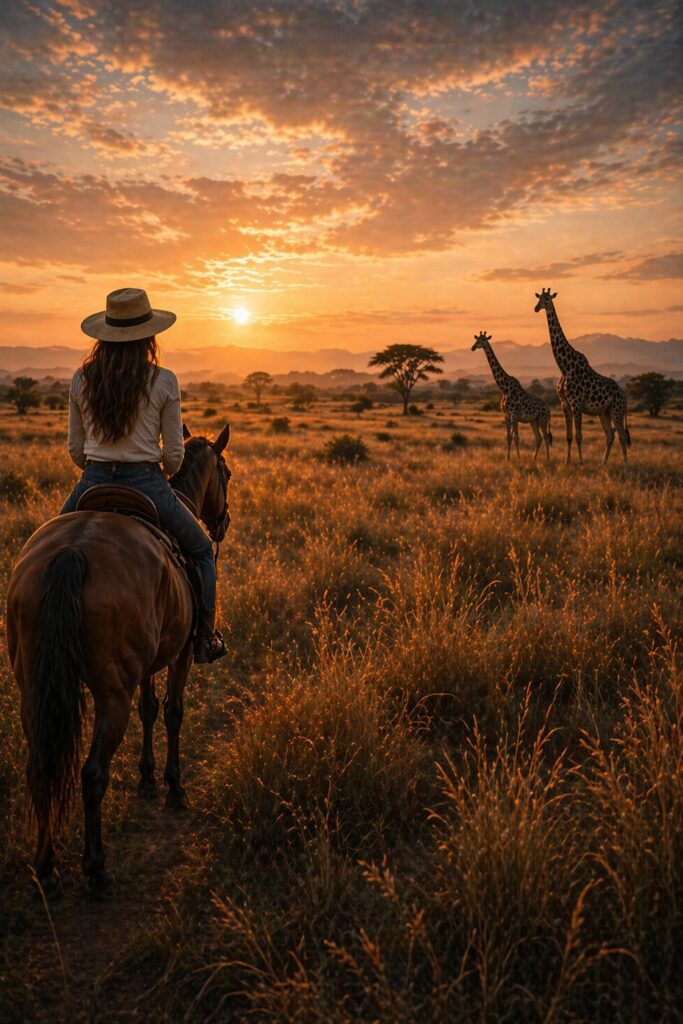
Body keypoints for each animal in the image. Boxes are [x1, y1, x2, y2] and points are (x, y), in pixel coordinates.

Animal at [471, 331, 552, 461]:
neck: (505, 389)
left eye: (483, 340)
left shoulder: (515, 415)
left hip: (542, 419)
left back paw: (548, 460)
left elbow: (516, 438)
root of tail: (549, 409)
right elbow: (508, 438)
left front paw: (518, 459)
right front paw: (508, 459)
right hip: (533, 421)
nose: (473, 347)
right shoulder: (507, 416)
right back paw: (534, 459)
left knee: (546, 437)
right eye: (476, 339)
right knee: (539, 438)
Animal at [534, 289, 631, 464]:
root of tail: (624, 396)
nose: (536, 308)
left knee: (622, 435)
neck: (565, 367)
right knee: (610, 436)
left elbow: (579, 436)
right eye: (539, 299)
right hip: (604, 412)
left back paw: (626, 465)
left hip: (617, 410)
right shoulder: (565, 405)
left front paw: (580, 462)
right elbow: (569, 436)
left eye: (547, 299)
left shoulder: (576, 404)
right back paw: (603, 464)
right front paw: (567, 462)